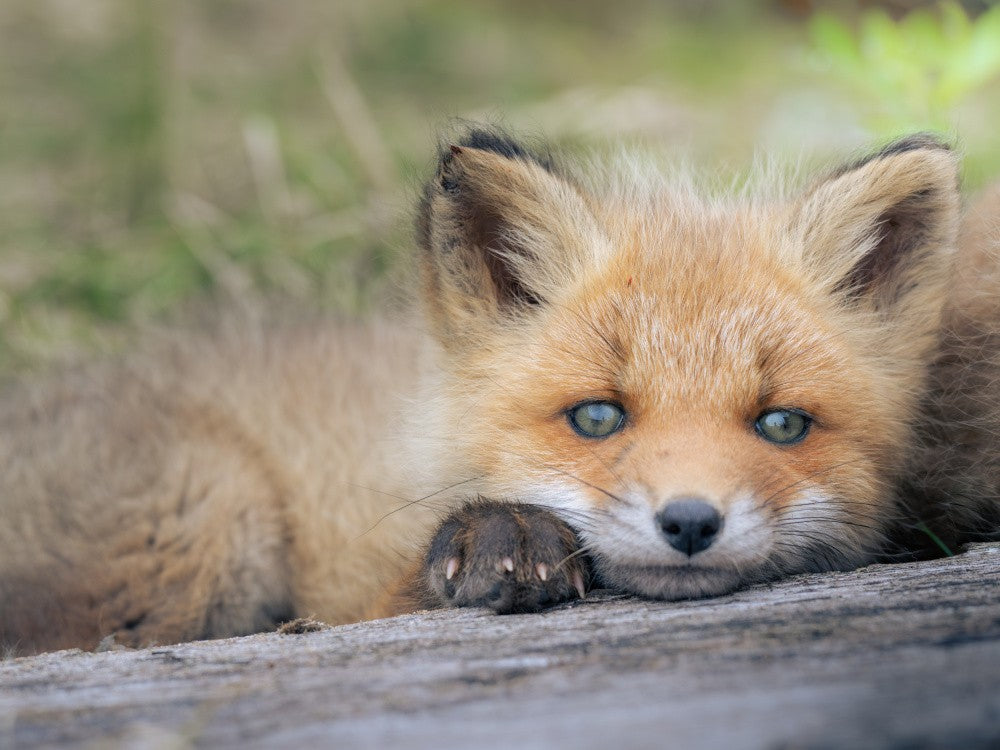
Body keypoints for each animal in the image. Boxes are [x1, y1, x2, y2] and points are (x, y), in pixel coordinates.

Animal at [1, 127, 998, 655]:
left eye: (782, 424)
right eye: (596, 416)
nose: (689, 522)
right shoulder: (355, 598)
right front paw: (501, 536)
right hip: (203, 527)